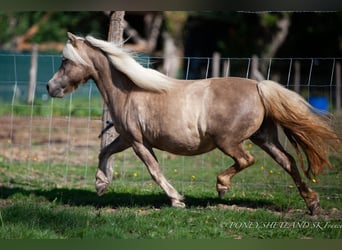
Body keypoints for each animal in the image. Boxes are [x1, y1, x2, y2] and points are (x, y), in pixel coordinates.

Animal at [47, 32, 340, 214]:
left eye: (65, 60)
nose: (50, 87)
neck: (129, 90)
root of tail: (259, 86)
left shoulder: (137, 141)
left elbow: (154, 170)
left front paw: (177, 200)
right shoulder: (126, 138)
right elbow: (104, 152)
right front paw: (100, 185)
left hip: (229, 141)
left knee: (247, 160)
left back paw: (222, 186)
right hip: (264, 138)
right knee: (288, 162)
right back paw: (312, 204)